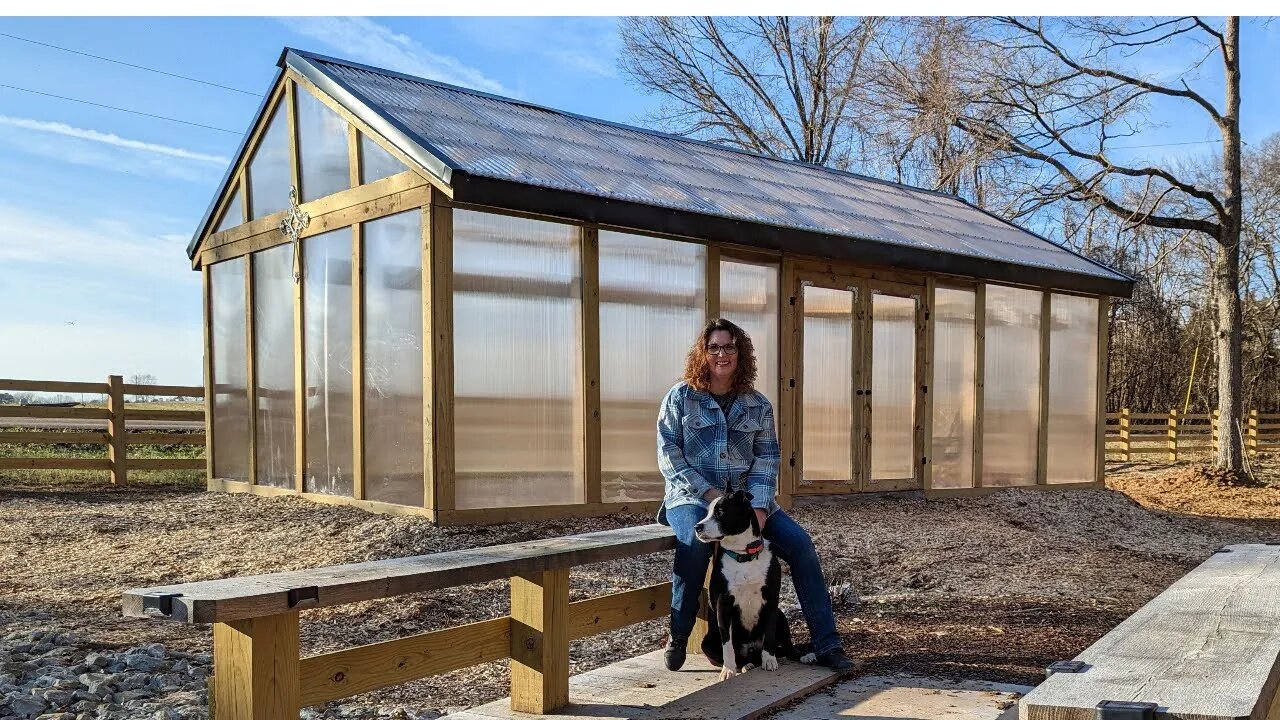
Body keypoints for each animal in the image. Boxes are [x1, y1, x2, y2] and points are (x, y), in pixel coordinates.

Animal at [696, 486, 814, 676]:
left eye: (721, 511)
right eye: (707, 512)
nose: (697, 527)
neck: (744, 555)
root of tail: (752, 650)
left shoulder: (771, 599)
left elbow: (769, 633)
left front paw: (770, 660)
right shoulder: (723, 603)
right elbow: (727, 644)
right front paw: (728, 670)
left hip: (780, 615)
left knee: (787, 647)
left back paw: (801, 655)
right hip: (708, 641)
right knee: (738, 655)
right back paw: (744, 665)